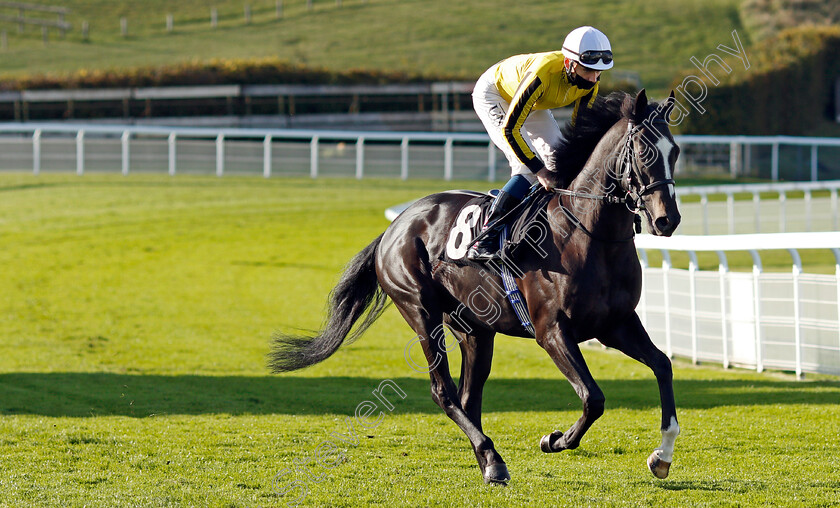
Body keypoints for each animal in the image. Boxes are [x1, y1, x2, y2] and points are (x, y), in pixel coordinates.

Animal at [270, 89, 684, 486]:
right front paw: (555, 440)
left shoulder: (615, 324)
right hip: (421, 311)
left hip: (475, 329)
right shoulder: (551, 331)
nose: (668, 220)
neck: (587, 234)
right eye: (644, 151)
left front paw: (661, 456)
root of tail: (394, 227)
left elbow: (663, 365)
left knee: (470, 396)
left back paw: (487, 460)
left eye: (675, 151)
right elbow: (592, 397)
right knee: (443, 391)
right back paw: (493, 459)